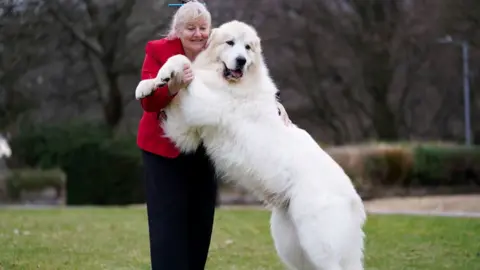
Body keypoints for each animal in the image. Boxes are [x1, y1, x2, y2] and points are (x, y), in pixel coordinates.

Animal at [133, 20, 366, 268]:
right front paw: (150, 84)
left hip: (318, 243)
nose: (241, 61)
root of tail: (354, 200)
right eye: (230, 43)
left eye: (248, 48)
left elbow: (186, 64)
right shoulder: (185, 132)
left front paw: (171, 74)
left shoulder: (205, 104)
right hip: (292, 244)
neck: (232, 82)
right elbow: (176, 70)